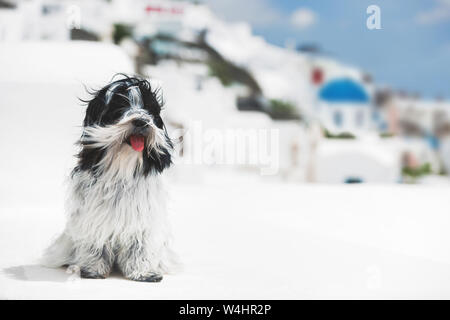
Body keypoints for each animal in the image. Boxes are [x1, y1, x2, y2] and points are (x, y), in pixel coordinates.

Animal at [42, 76, 178, 282]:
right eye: (120, 108)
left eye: (149, 109)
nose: (141, 121)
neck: (122, 168)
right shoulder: (93, 216)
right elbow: (95, 243)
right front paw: (93, 269)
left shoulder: (142, 221)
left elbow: (140, 247)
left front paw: (143, 272)